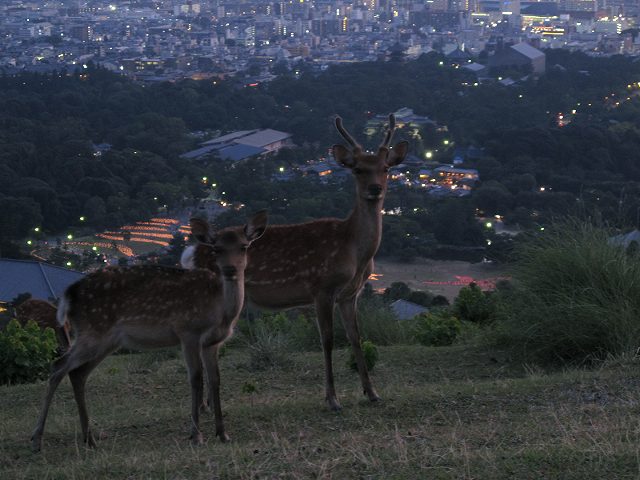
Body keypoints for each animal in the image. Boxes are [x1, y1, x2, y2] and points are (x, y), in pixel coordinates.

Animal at [31, 210, 268, 450]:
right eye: (216, 249)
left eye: (244, 246)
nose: (230, 269)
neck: (220, 310)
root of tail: (68, 295)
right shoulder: (187, 331)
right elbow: (195, 378)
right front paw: (196, 435)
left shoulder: (212, 342)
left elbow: (215, 380)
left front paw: (222, 433)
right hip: (93, 332)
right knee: (58, 366)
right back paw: (37, 438)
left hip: (105, 340)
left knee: (78, 373)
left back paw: (90, 438)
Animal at [182, 115, 408, 408]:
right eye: (357, 169)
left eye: (386, 168)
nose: (375, 188)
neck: (355, 252)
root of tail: (190, 253)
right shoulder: (322, 287)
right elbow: (327, 340)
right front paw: (332, 399)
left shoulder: (350, 294)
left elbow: (356, 338)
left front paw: (372, 393)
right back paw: (205, 406)